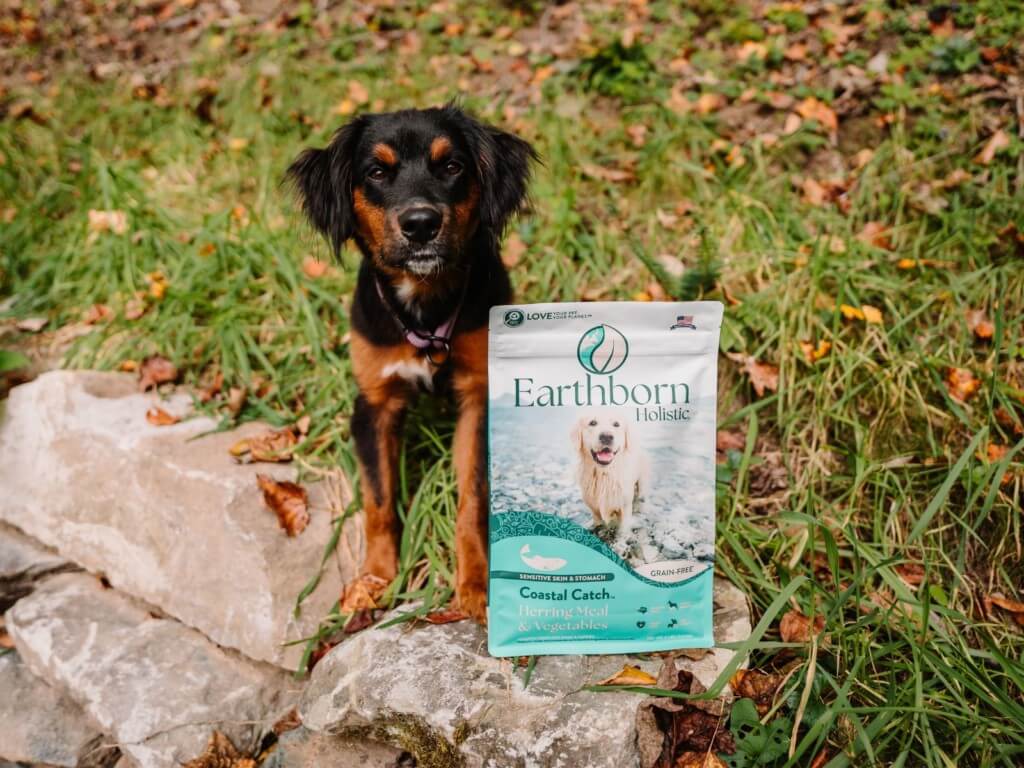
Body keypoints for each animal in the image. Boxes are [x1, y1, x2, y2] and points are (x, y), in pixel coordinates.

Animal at [284, 103, 532, 626]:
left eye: (452, 166)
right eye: (377, 172)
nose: (420, 223)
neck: (423, 306)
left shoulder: (478, 397)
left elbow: (472, 498)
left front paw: (474, 585)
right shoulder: (373, 404)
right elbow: (379, 501)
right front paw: (375, 581)